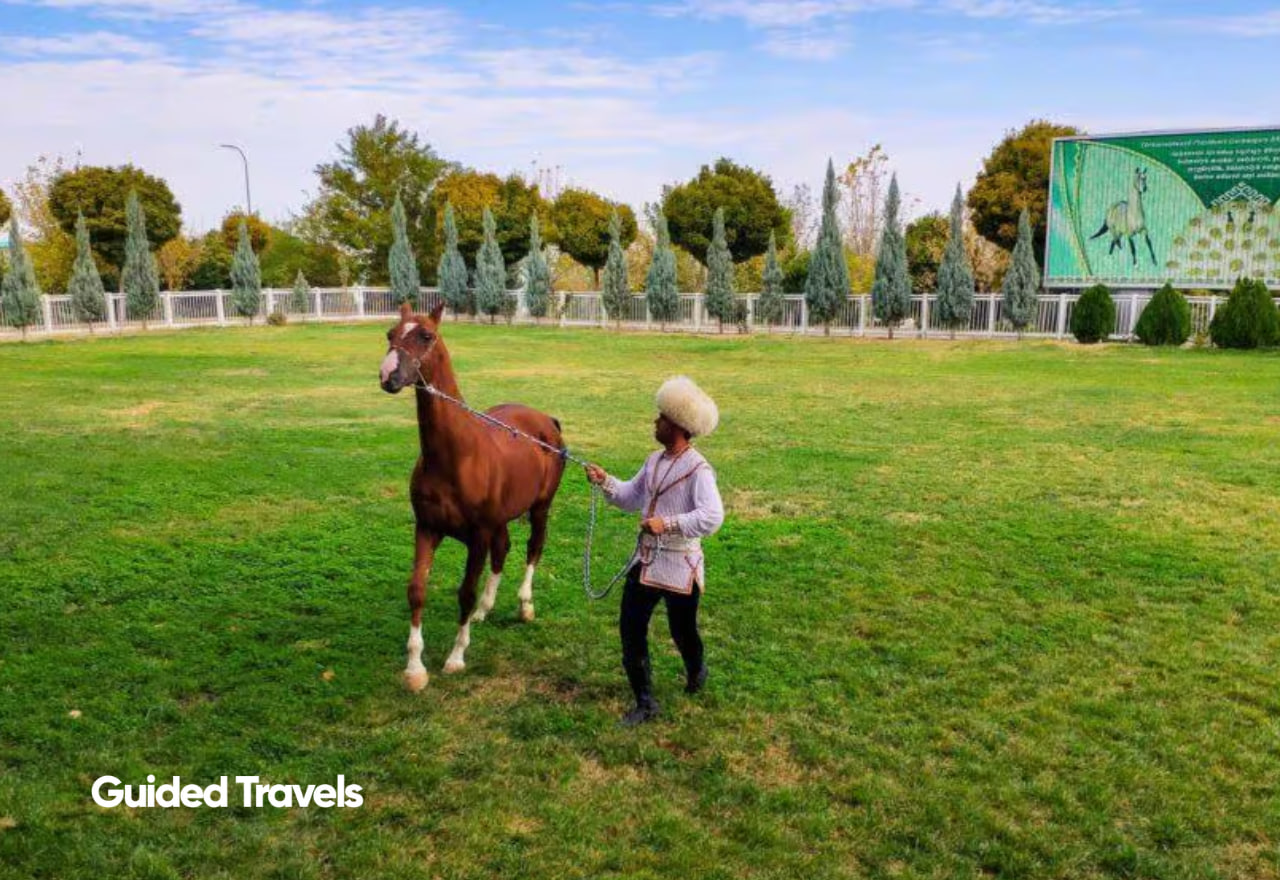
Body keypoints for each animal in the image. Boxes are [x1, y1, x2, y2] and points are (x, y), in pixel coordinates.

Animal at [380, 302, 566, 691]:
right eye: (390, 334)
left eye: (426, 336)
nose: (388, 375)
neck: (455, 455)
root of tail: (548, 421)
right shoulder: (427, 528)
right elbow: (416, 589)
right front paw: (415, 668)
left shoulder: (478, 536)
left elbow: (464, 591)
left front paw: (455, 657)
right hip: (502, 519)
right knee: (504, 549)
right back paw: (485, 608)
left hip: (540, 509)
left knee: (533, 549)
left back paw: (524, 606)